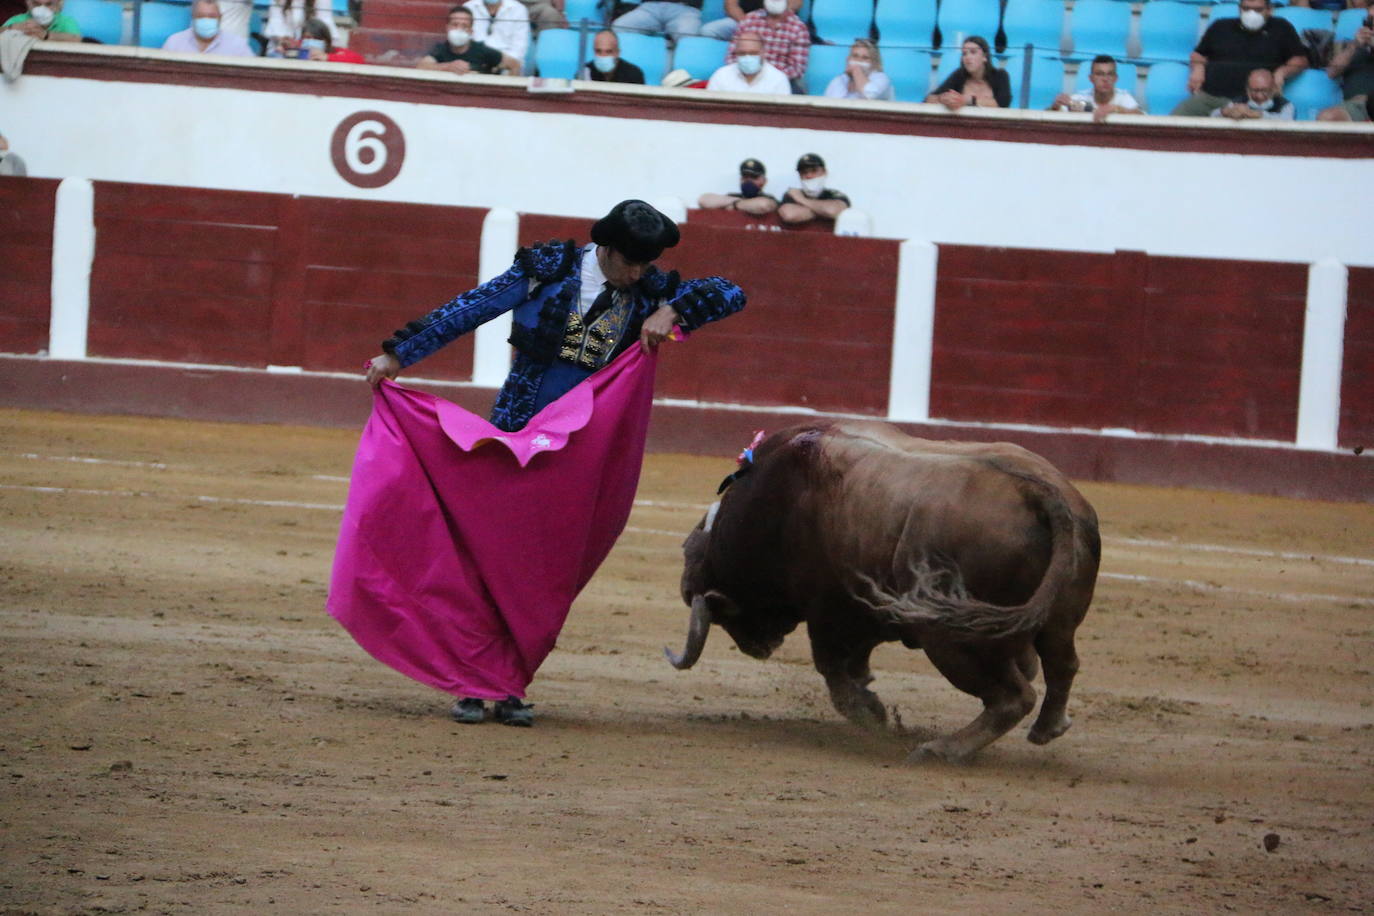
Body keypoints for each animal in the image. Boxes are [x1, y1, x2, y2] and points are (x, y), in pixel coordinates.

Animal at [667, 422, 1104, 769]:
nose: (759, 646)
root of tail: (1039, 492)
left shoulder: (828, 613)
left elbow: (834, 673)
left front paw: (872, 714)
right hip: (1056, 620)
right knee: (1063, 664)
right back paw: (1047, 727)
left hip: (954, 641)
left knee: (1014, 696)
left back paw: (940, 750)